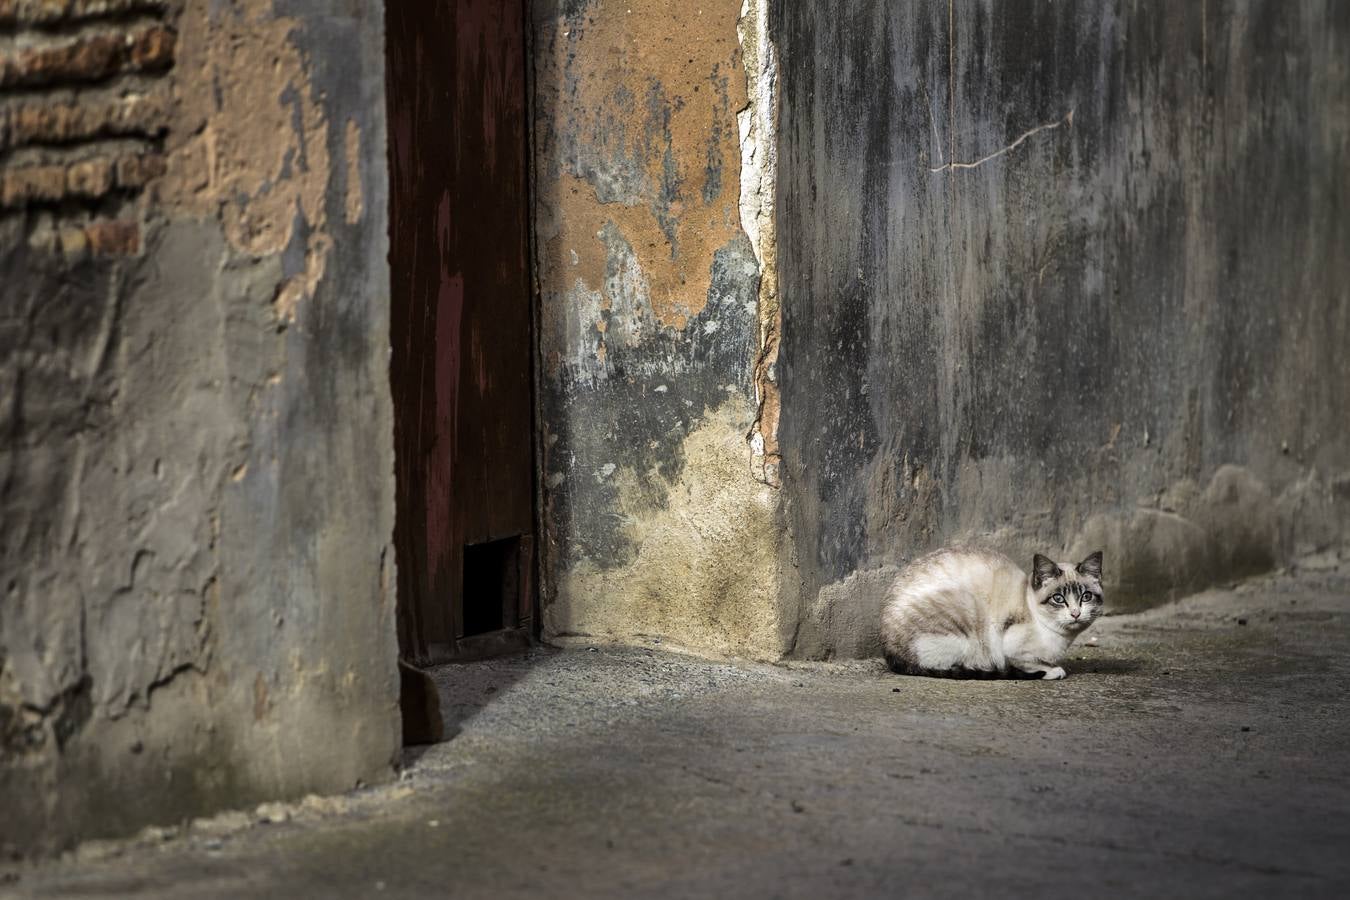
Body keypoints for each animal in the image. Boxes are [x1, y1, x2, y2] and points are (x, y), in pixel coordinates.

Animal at [874, 545, 1107, 680]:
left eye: (1086, 597)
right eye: (1058, 599)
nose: (1076, 613)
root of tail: (891, 653)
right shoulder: (1011, 648)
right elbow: (1031, 663)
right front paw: (1053, 670)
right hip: (966, 609)